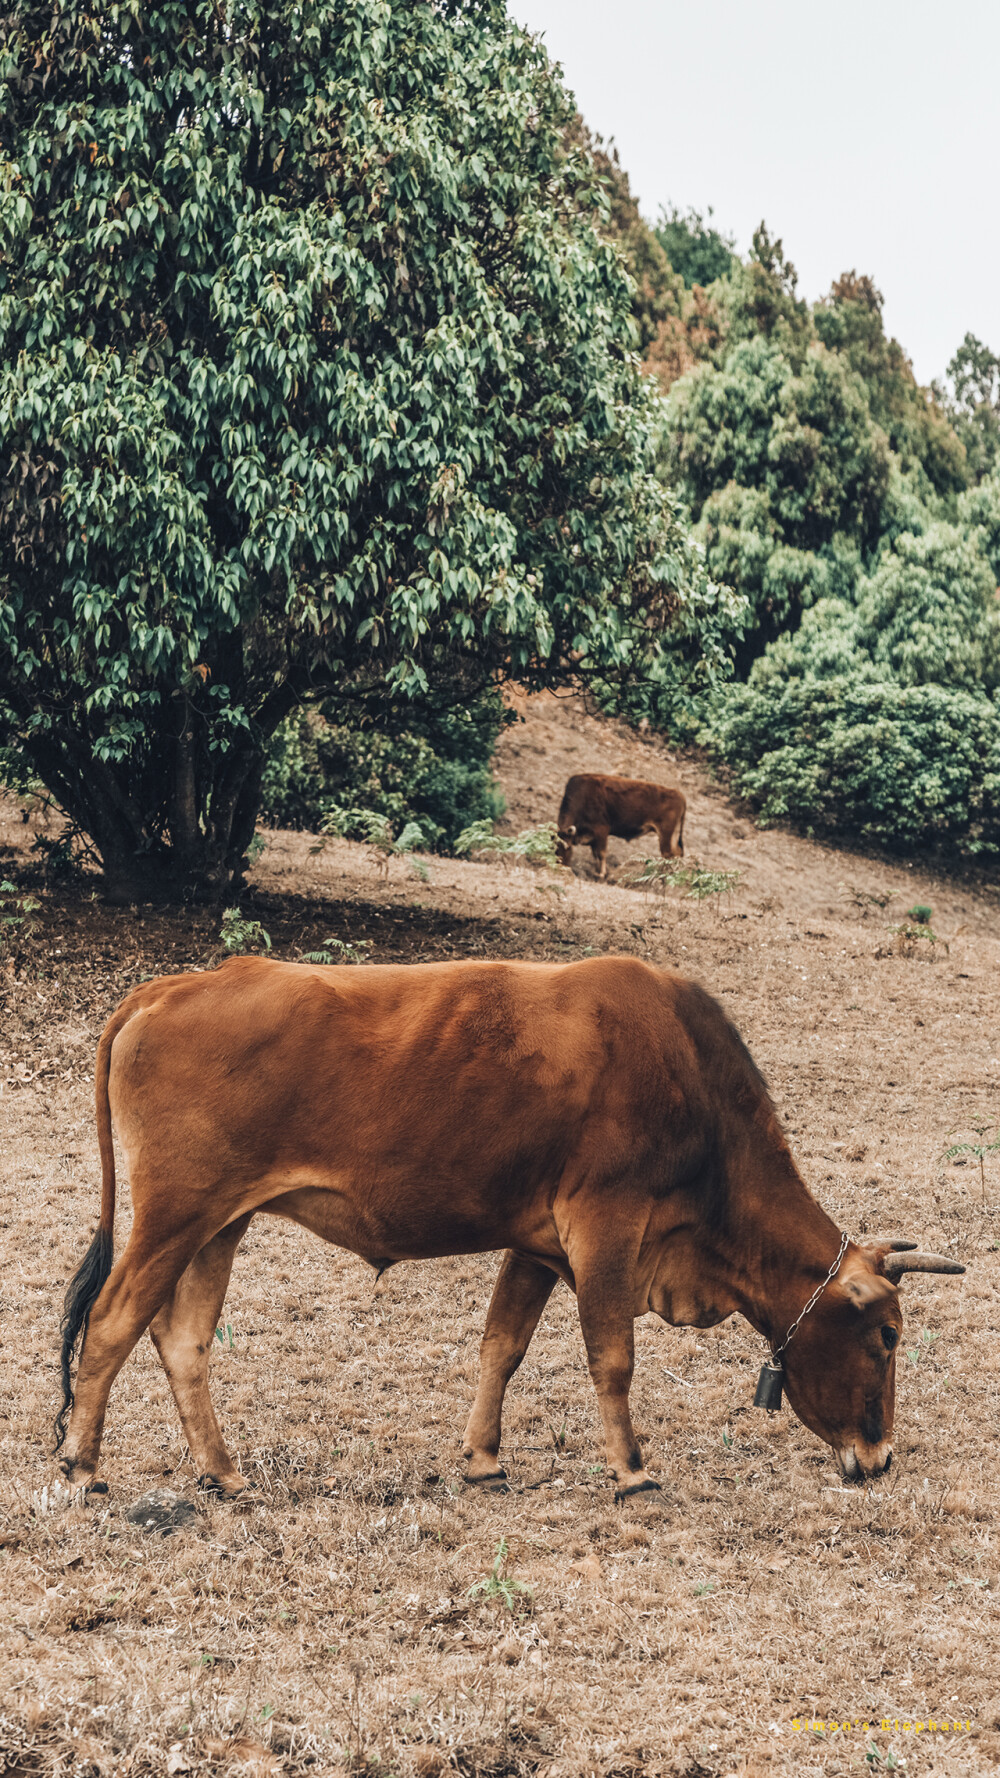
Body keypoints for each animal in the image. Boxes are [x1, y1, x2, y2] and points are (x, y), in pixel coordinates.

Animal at [551, 768, 683, 878]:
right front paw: (596, 871)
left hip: (665, 833)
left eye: (568, 847)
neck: (583, 796)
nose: (561, 866)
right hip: (672, 835)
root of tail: (678, 794)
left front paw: (602, 874)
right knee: (677, 853)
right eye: (554, 847)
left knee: (668, 854)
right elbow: (595, 854)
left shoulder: (601, 830)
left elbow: (601, 853)